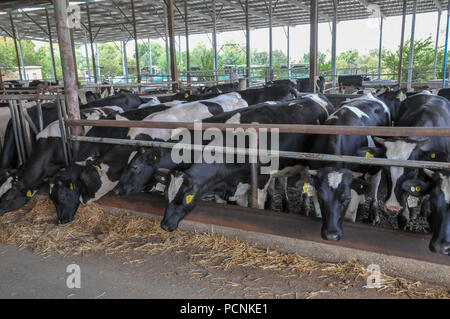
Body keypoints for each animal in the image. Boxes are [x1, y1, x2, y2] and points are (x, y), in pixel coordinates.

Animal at [160, 95, 336, 232]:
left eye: (184, 199)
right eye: (166, 196)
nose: (164, 225)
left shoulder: (260, 182)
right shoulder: (233, 186)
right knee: (284, 179)